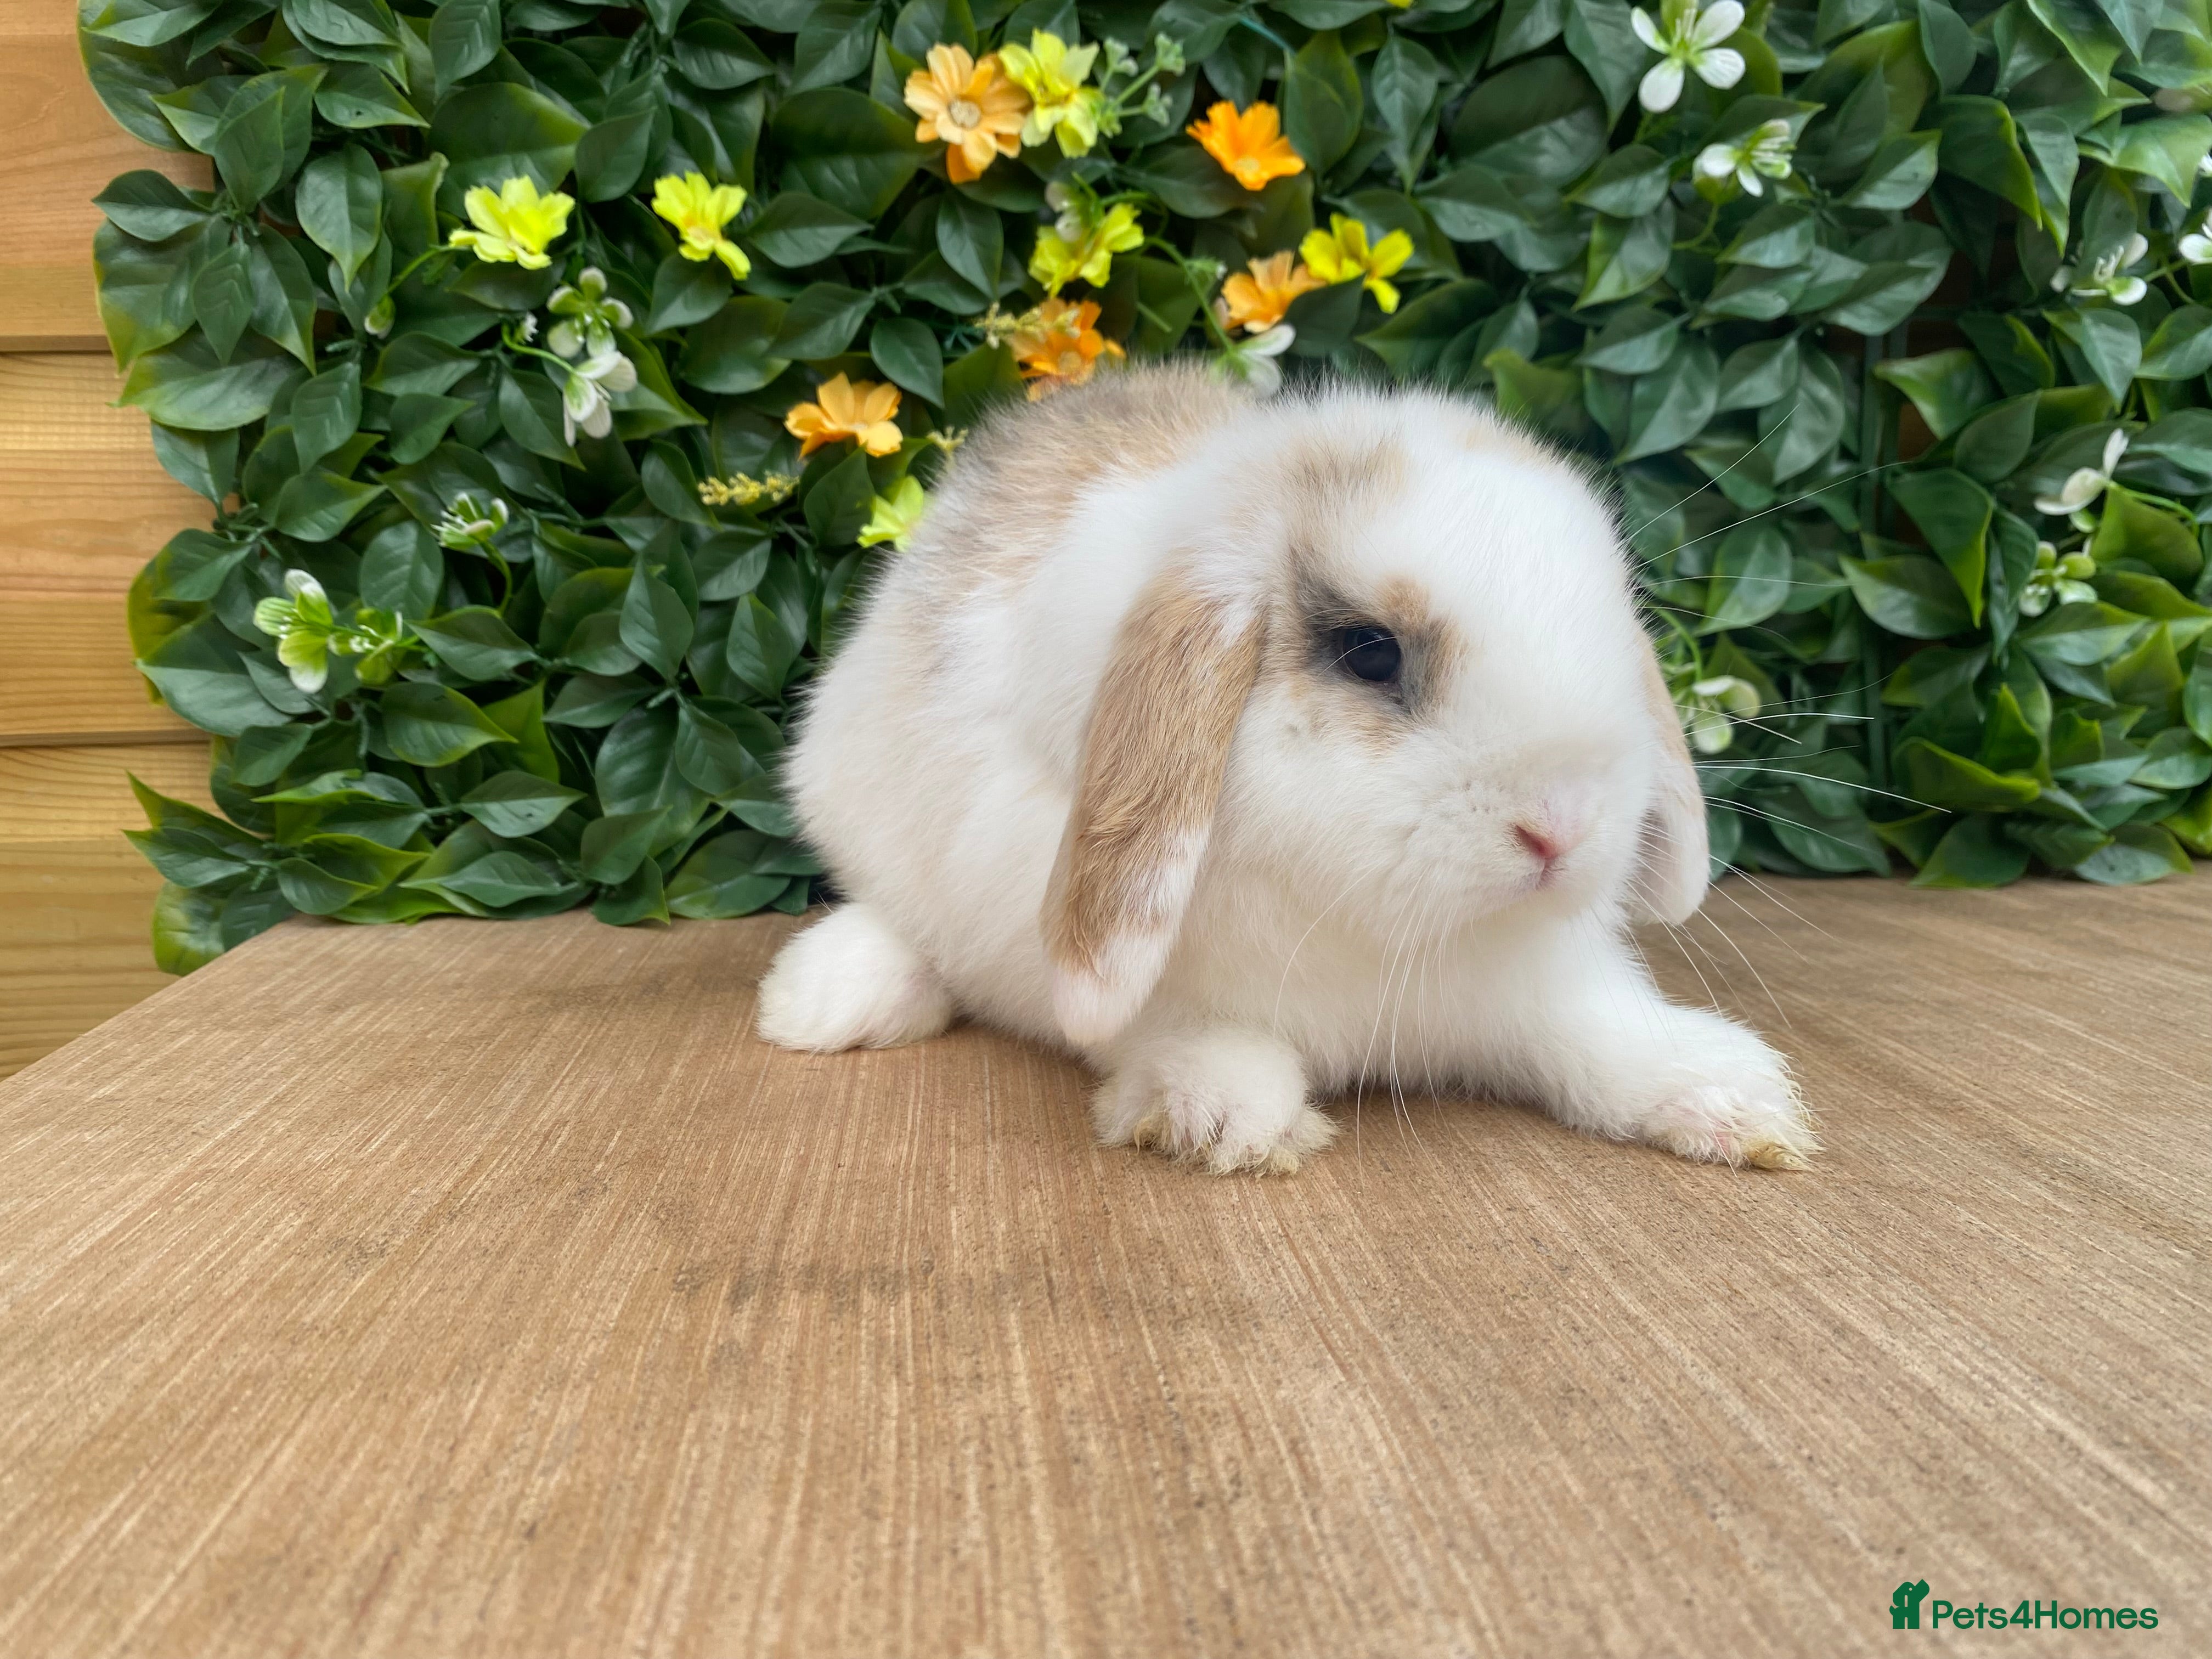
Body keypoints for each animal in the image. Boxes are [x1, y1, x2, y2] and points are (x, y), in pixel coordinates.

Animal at [755, 362, 1815, 1176]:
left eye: (1611, 623)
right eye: (1370, 652)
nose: (1559, 828)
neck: (1391, 936)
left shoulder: (1540, 987)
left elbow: (1599, 1035)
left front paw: (1734, 1098)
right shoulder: (1099, 954)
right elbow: (1169, 1023)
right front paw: (1225, 1114)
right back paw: (824, 1000)